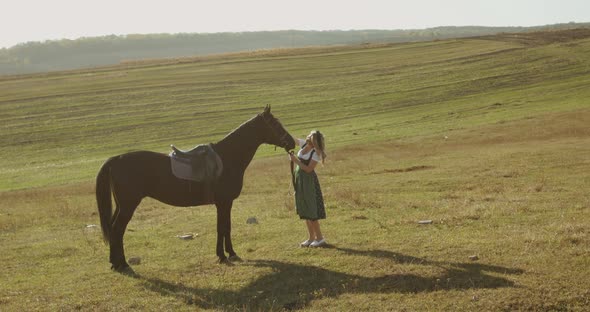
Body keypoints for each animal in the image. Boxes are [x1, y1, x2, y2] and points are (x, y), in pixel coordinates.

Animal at [96, 106, 296, 272]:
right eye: (275, 124)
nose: (292, 142)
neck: (228, 157)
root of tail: (115, 159)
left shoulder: (226, 203)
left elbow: (226, 227)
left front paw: (230, 253)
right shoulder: (223, 202)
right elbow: (222, 227)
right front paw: (222, 256)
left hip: (122, 205)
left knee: (113, 229)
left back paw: (115, 262)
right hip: (128, 206)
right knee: (117, 230)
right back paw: (121, 263)